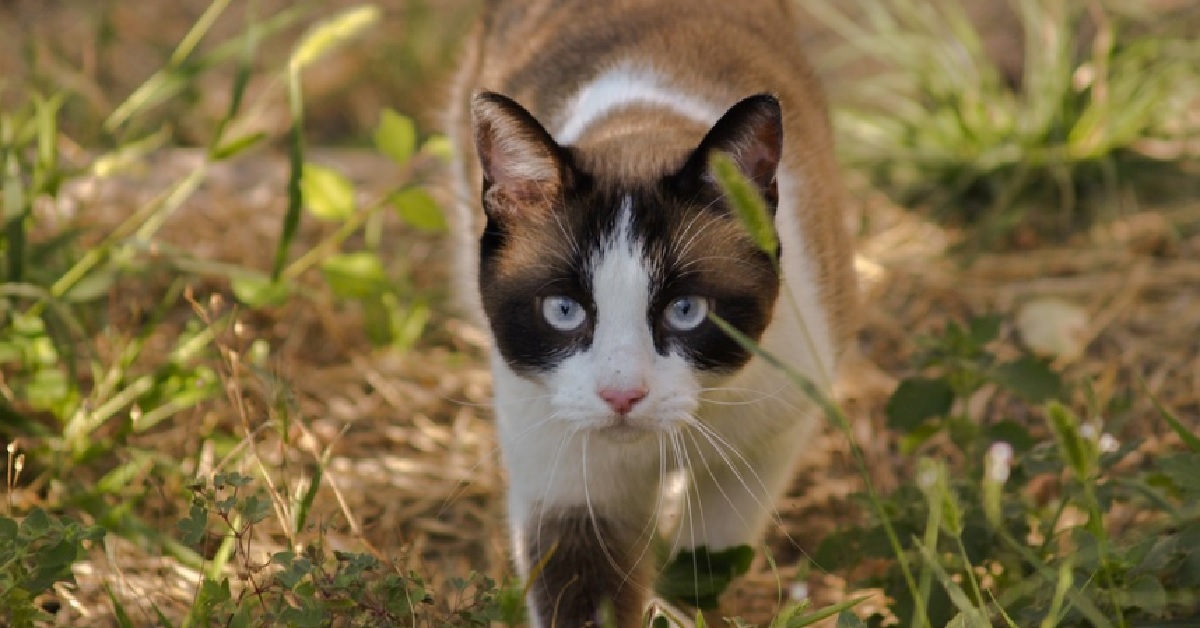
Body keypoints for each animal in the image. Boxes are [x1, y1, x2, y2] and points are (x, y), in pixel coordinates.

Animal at [446, 2, 859, 624]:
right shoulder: (573, 497)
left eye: (686, 311)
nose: (622, 396)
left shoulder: (766, 443)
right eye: (563, 310)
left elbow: (701, 572)